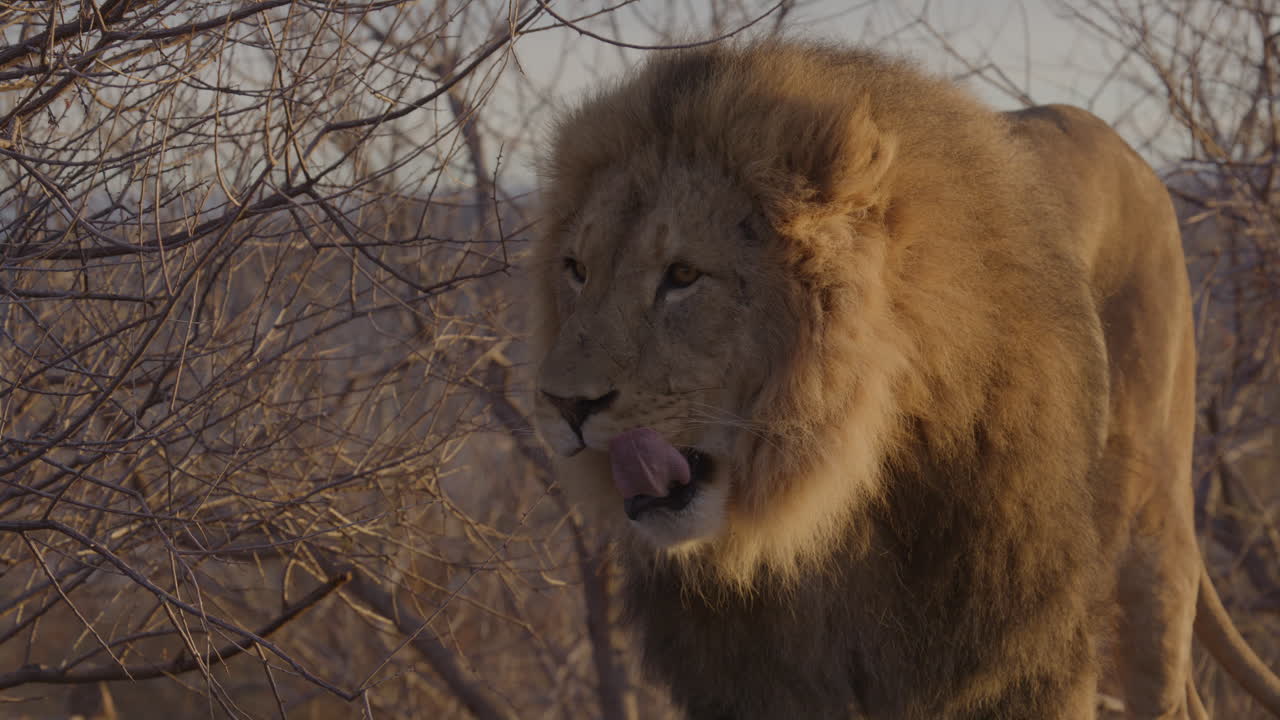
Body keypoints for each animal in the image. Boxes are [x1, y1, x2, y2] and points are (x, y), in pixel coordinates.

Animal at [530, 40, 1280, 719]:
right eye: (577, 270)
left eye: (683, 275)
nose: (563, 405)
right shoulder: (761, 685)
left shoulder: (1021, 659)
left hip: (1152, 541)